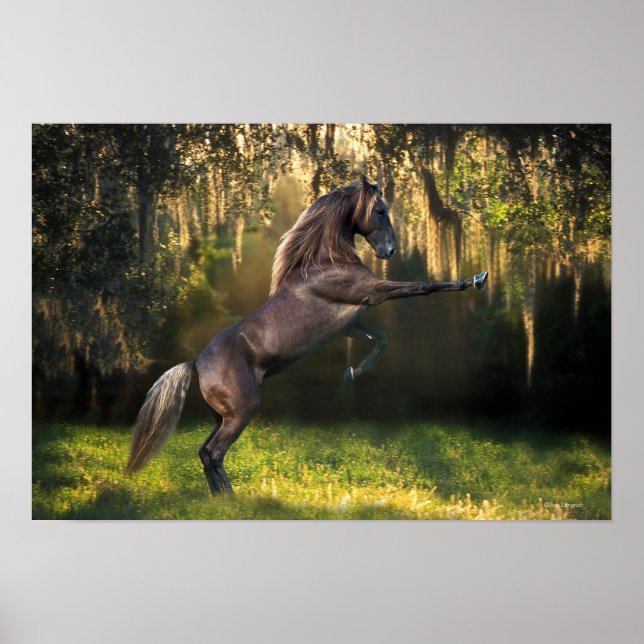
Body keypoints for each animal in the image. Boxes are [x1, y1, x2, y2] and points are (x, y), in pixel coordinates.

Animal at [125, 176, 488, 494]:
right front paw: (476, 279)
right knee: (214, 452)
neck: (327, 261)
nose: (391, 250)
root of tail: (196, 363)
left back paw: (221, 498)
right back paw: (230, 497)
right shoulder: (373, 293)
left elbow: (380, 339)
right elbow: (424, 286)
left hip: (222, 416)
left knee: (205, 453)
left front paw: (350, 373)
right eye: (380, 211)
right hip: (241, 411)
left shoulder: (350, 323)